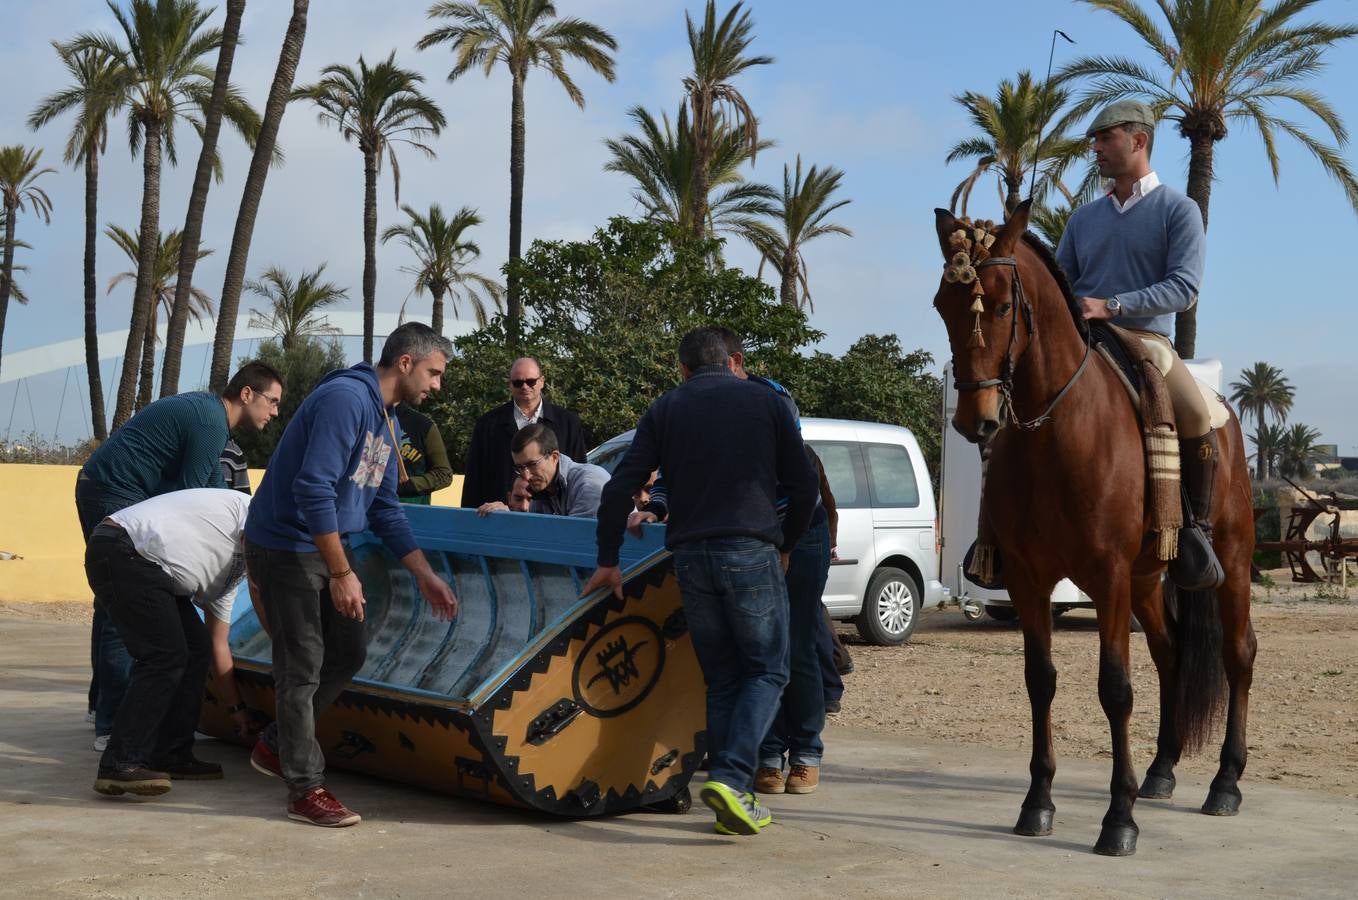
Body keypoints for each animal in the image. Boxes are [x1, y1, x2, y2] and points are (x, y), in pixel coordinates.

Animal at [928, 200, 1254, 857]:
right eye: (942, 304)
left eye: (1002, 305)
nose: (977, 421)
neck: (1056, 433)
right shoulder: (1029, 581)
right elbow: (1040, 681)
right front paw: (1038, 803)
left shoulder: (1106, 579)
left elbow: (1115, 689)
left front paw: (1118, 819)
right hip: (1150, 582)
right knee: (1171, 653)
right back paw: (1161, 771)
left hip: (1229, 567)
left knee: (1238, 656)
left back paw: (1225, 782)